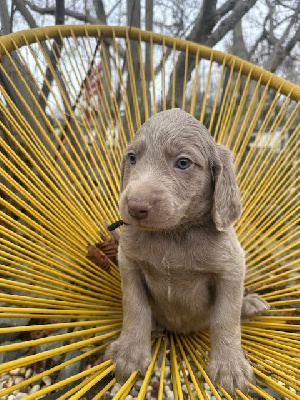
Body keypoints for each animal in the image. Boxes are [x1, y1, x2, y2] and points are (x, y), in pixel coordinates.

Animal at [106, 108, 270, 396]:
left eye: (183, 163)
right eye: (132, 158)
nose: (135, 206)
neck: (173, 235)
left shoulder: (231, 269)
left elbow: (226, 317)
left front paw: (230, 367)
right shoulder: (128, 262)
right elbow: (135, 307)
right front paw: (130, 353)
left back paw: (250, 303)